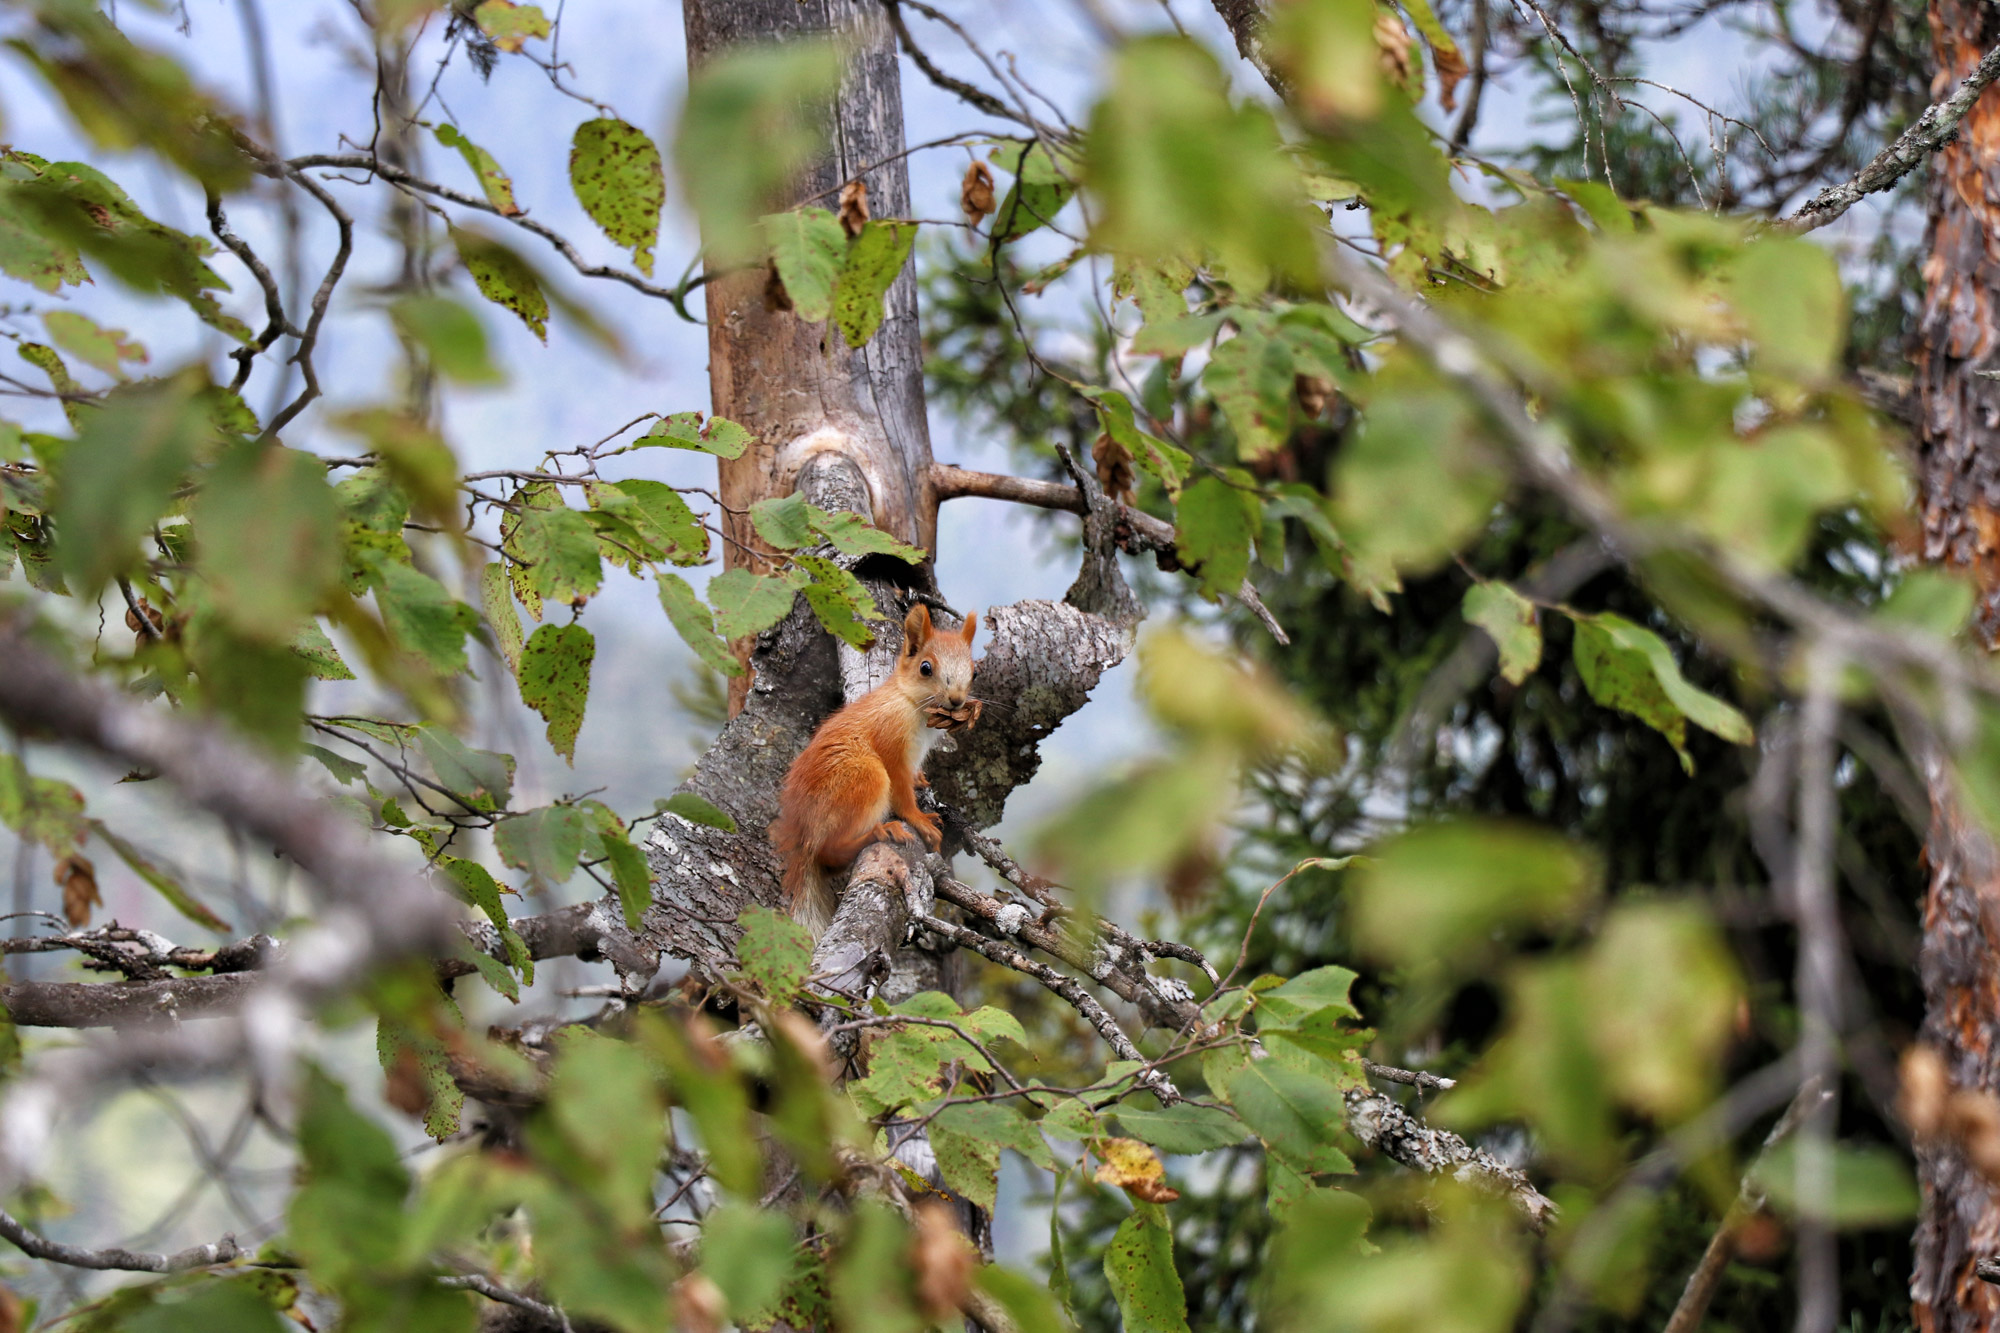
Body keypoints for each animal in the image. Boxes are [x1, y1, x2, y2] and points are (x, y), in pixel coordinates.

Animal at [768, 604, 980, 932]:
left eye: (974, 671)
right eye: (925, 668)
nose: (957, 700)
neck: (912, 705)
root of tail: (805, 835)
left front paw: (921, 780)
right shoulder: (891, 746)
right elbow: (902, 791)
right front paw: (919, 819)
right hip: (865, 777)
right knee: (829, 852)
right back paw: (879, 832)